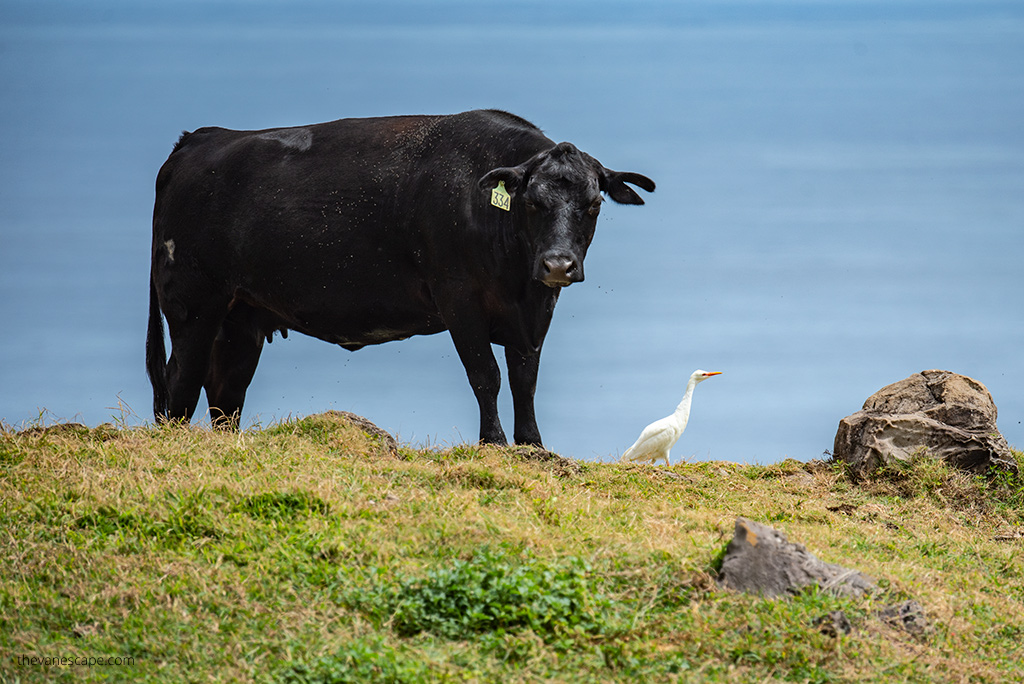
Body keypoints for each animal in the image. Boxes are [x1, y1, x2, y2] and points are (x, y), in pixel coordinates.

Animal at [146, 108, 655, 444]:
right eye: (532, 203)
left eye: (593, 204)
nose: (557, 264)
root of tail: (199, 137)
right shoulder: (458, 297)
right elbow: (486, 375)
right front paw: (493, 442)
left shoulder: (535, 308)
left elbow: (524, 376)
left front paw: (533, 445)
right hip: (193, 304)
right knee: (180, 381)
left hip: (241, 315)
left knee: (224, 392)